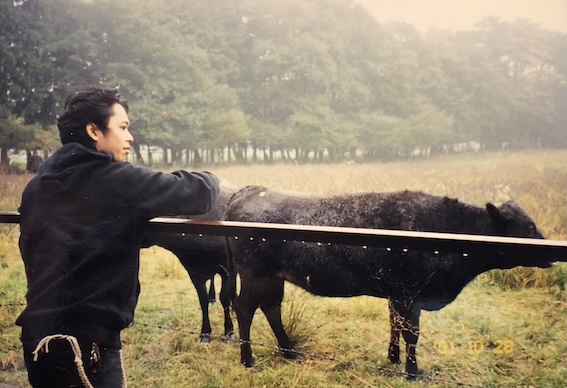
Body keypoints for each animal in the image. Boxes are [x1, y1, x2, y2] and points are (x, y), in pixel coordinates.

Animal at [144, 183, 240, 342]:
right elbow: (203, 300)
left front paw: (229, 331)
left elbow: (225, 299)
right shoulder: (193, 271)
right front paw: (205, 333)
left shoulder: (227, 270)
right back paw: (212, 297)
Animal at [226, 185, 556, 378]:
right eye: (528, 227)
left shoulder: (397, 293)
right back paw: (248, 359)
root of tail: (250, 190)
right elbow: (411, 333)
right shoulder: (411, 292)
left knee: (271, 308)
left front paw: (393, 357)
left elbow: (394, 323)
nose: (553, 251)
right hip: (255, 275)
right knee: (244, 309)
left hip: (272, 278)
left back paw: (289, 351)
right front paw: (412, 370)